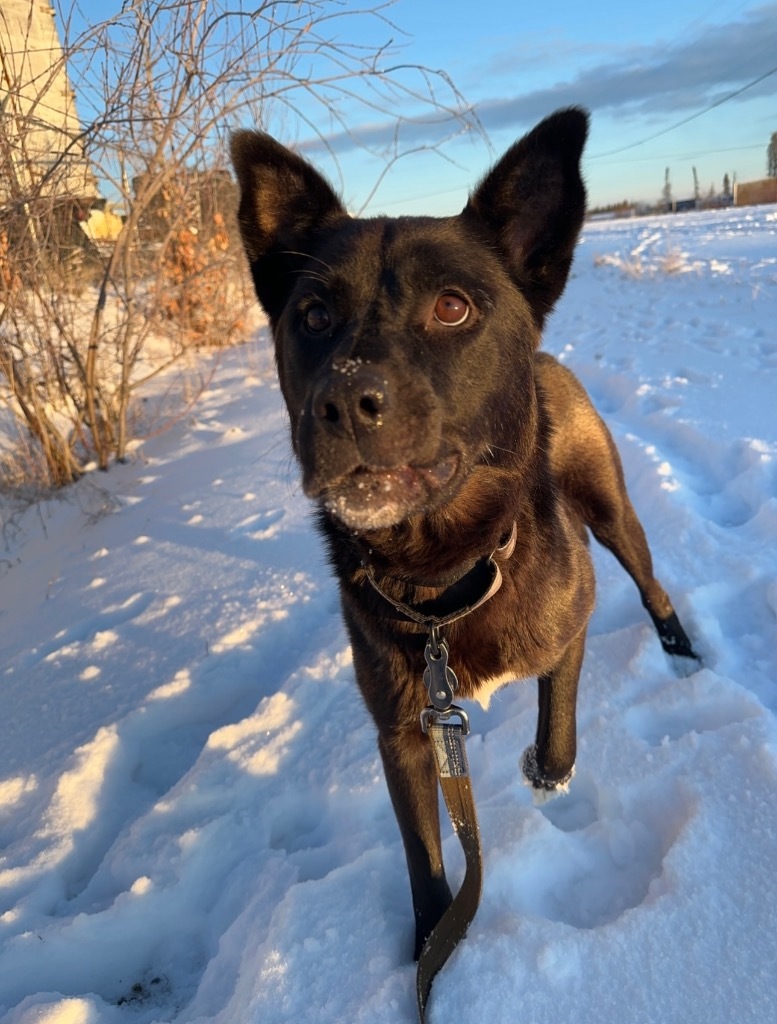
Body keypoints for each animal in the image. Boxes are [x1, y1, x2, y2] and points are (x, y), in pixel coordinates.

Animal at [231, 110, 700, 958]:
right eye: (312, 316)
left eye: (452, 307)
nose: (342, 402)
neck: (442, 580)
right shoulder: (402, 732)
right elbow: (422, 855)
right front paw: (431, 952)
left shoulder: (568, 620)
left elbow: (560, 720)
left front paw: (547, 773)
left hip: (611, 513)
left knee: (650, 583)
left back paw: (682, 655)